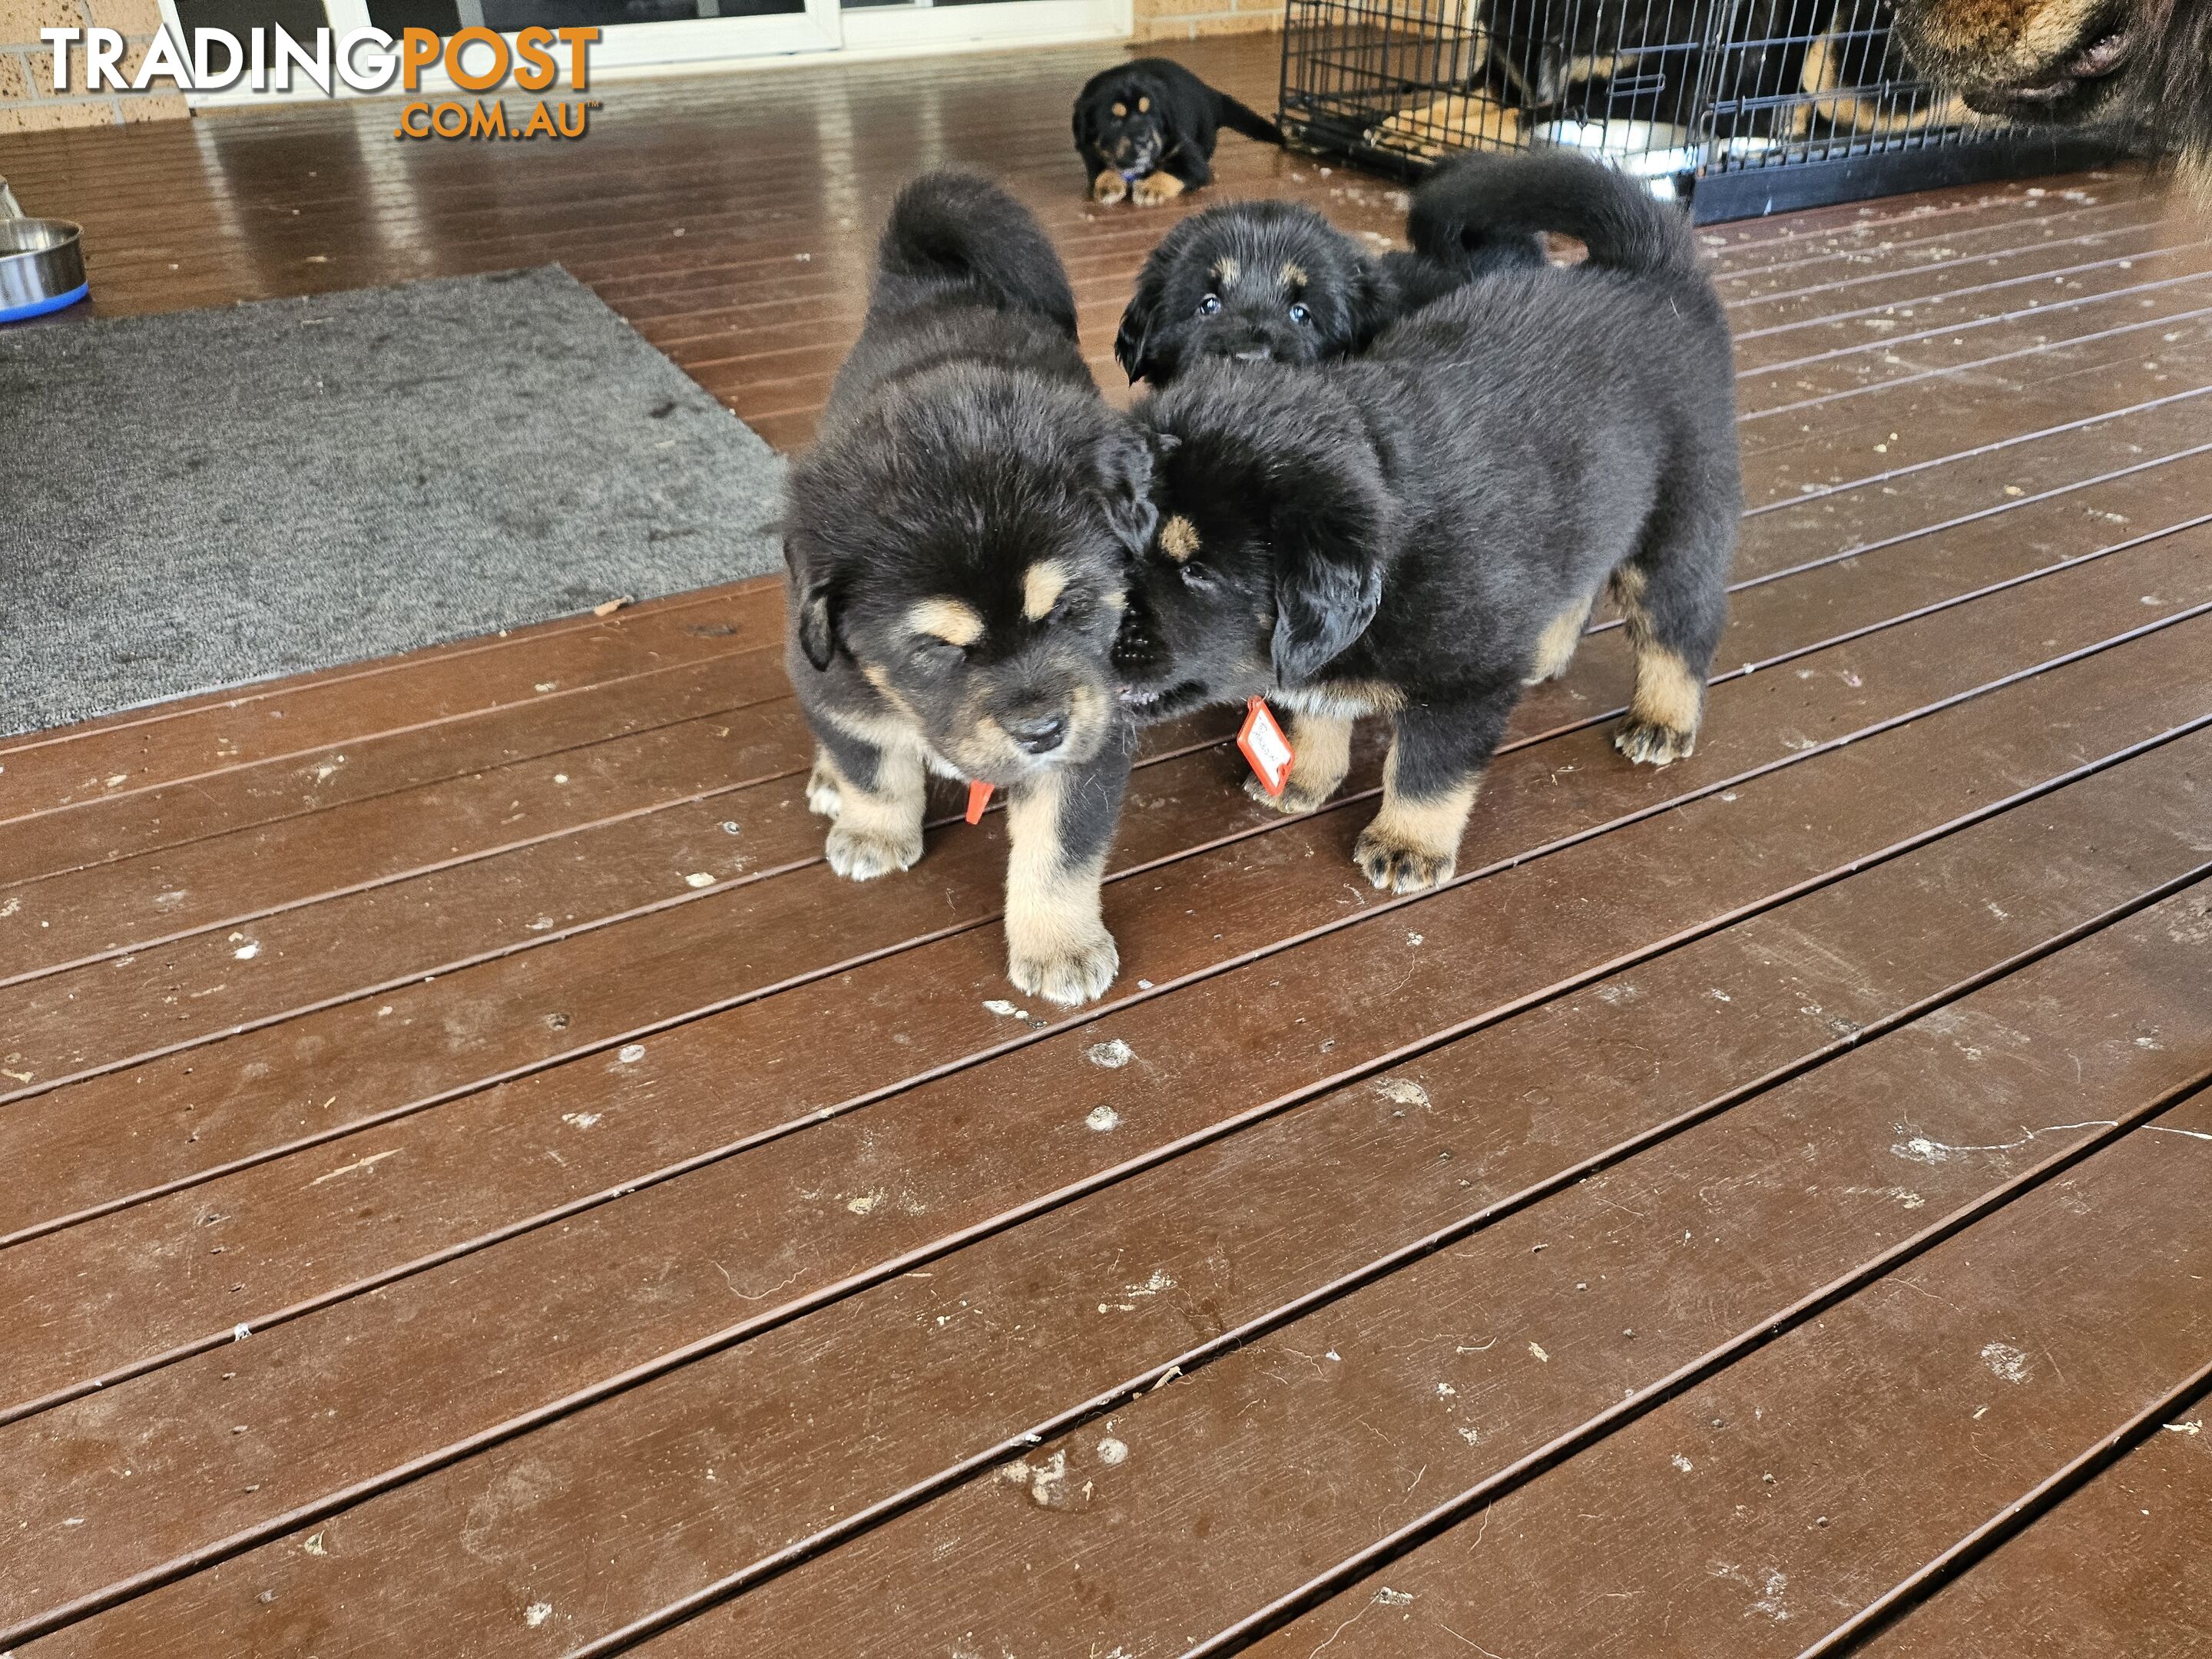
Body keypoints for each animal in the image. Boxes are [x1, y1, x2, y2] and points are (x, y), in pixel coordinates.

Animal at [1070, 55, 1283, 207]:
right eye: (1114, 121)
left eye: (1151, 114)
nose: (1144, 140)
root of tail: (1209, 93)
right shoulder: (1091, 151)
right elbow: (1102, 169)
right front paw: (1108, 184)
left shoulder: (1191, 159)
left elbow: (1173, 171)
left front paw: (1150, 188)